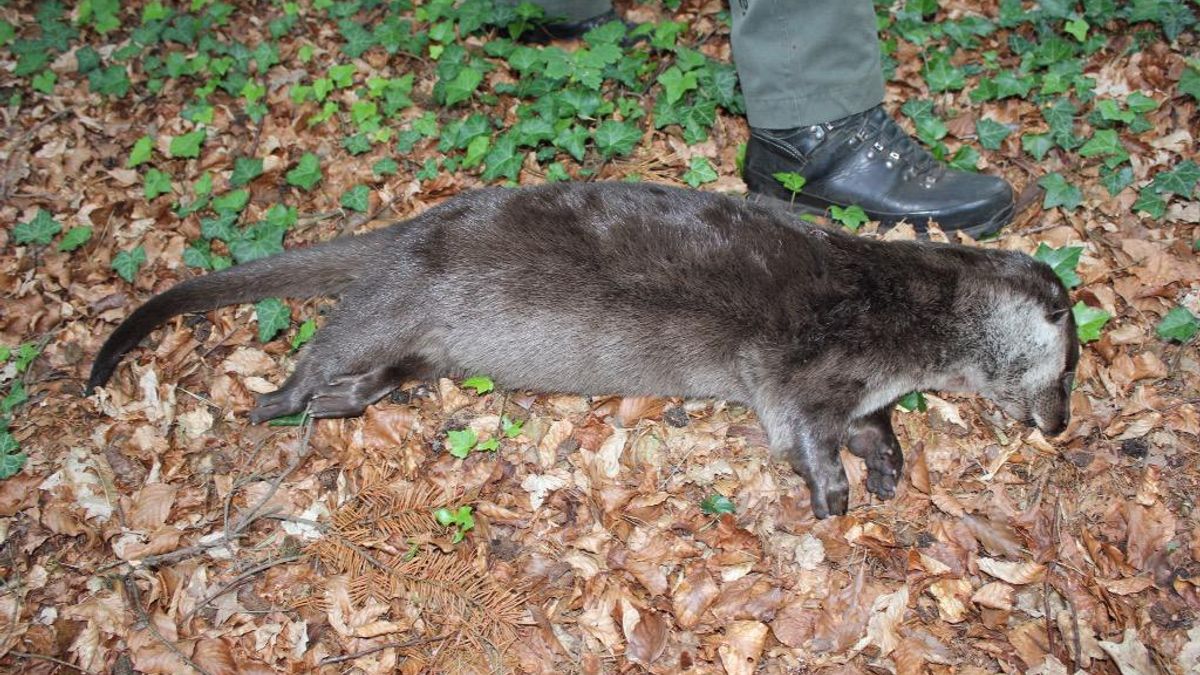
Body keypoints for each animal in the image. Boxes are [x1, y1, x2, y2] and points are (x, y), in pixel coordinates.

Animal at [89, 182, 1079, 518]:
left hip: (430, 338)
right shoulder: (803, 369)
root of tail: (407, 230)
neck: (906, 308)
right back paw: (281, 400)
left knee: (397, 368)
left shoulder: (866, 383)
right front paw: (833, 490)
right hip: (395, 299)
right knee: (324, 347)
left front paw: (889, 467)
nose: (1063, 424)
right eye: (1070, 372)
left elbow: (874, 425)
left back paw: (346, 399)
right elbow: (801, 430)